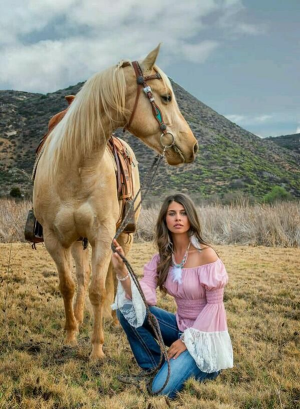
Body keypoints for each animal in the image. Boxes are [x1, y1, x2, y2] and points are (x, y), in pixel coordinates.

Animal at [32, 43, 198, 360]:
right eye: (166, 97)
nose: (192, 146)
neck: (76, 166)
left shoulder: (103, 234)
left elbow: (99, 289)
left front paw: (96, 349)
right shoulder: (54, 239)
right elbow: (68, 285)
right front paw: (70, 334)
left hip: (122, 238)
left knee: (113, 276)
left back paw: (111, 317)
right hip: (77, 240)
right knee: (82, 277)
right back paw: (79, 317)